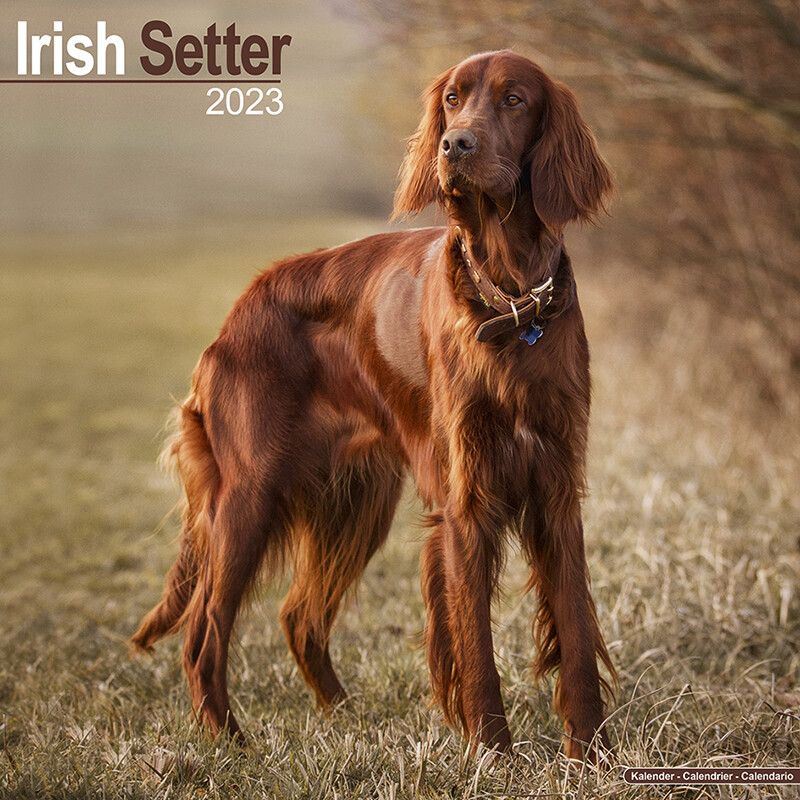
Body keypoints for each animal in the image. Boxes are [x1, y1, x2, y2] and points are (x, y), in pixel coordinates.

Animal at [134, 50, 616, 764]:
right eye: (452, 99)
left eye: (515, 99)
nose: (455, 145)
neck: (510, 304)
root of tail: (232, 320)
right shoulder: (466, 505)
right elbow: (477, 651)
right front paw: (493, 757)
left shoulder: (556, 488)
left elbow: (577, 631)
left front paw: (590, 754)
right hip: (250, 495)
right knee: (204, 631)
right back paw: (229, 742)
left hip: (357, 500)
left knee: (299, 617)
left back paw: (344, 718)